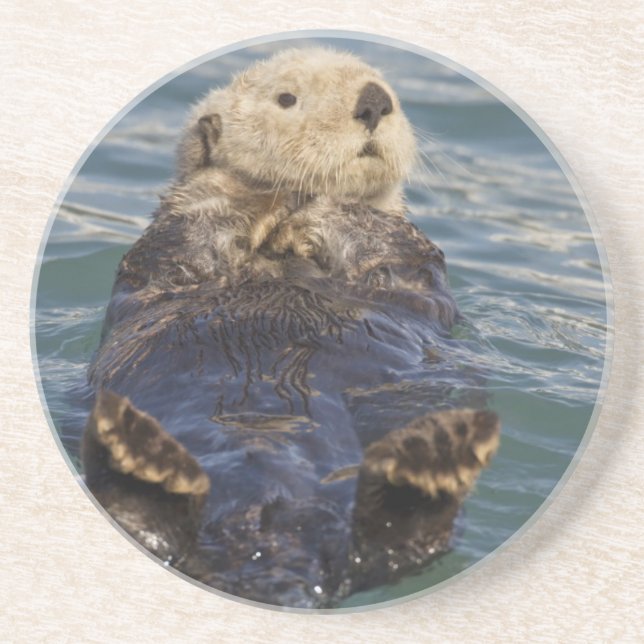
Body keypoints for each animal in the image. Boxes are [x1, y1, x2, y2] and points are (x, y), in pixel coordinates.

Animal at [82, 48, 500, 609]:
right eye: (287, 98)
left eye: (386, 87)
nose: (374, 102)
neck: (277, 255)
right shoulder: (167, 254)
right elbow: (192, 233)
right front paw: (251, 195)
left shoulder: (406, 260)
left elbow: (379, 242)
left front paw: (323, 206)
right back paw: (140, 463)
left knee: (393, 550)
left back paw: (429, 466)